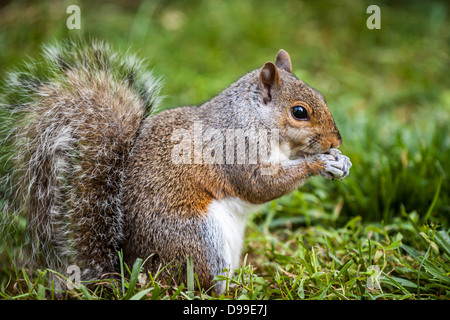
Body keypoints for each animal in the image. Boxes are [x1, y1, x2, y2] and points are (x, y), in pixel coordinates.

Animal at [0, 40, 352, 296]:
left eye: (321, 95)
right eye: (299, 112)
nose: (337, 139)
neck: (253, 118)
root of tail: (130, 274)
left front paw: (341, 160)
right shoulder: (237, 151)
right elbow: (261, 185)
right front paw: (320, 163)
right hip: (198, 240)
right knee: (200, 286)